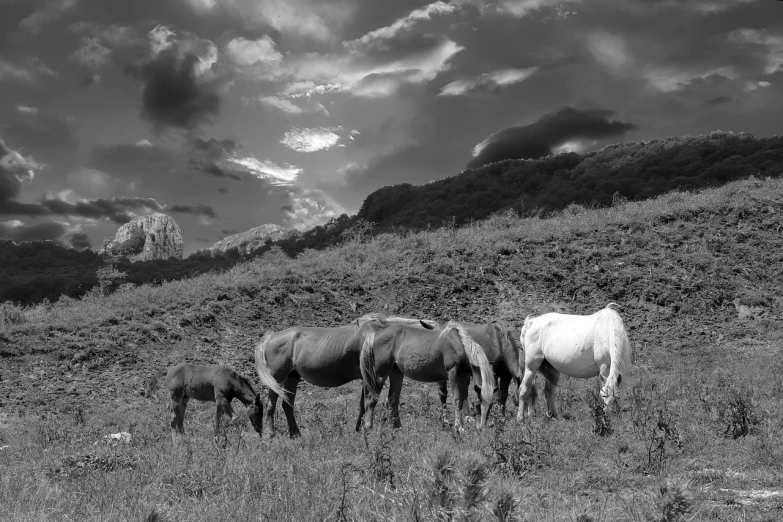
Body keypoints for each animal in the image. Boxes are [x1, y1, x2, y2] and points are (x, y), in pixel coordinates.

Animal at [254, 310, 438, 436]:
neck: (379, 334)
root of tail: (271, 337)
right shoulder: (373, 376)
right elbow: (371, 402)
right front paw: (366, 428)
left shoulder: (390, 374)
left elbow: (381, 402)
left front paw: (362, 429)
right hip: (278, 378)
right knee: (271, 404)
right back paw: (270, 434)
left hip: (292, 378)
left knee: (287, 405)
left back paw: (295, 434)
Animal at [358, 318, 494, 428]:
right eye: (479, 404)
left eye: (491, 405)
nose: (482, 428)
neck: (459, 345)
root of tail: (375, 334)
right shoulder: (453, 374)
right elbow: (457, 399)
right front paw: (459, 427)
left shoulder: (464, 376)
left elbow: (463, 398)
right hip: (380, 374)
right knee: (372, 399)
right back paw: (368, 426)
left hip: (396, 373)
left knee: (393, 399)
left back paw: (397, 427)